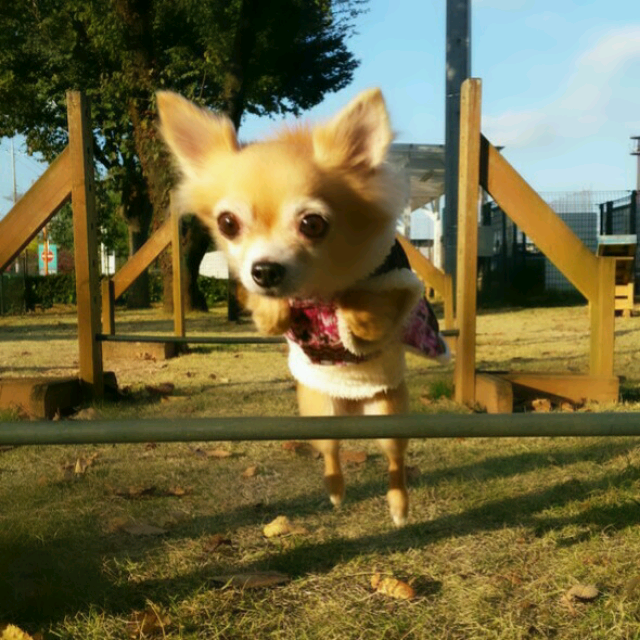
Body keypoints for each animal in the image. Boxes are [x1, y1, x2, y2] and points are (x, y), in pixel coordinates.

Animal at [156, 87, 444, 524]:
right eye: (227, 224)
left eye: (312, 224)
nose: (264, 270)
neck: (318, 287)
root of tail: (352, 410)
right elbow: (269, 313)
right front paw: (274, 310)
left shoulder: (399, 293)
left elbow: (366, 309)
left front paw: (350, 309)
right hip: (319, 415)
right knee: (332, 454)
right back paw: (336, 490)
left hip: (389, 417)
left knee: (395, 462)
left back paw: (398, 506)